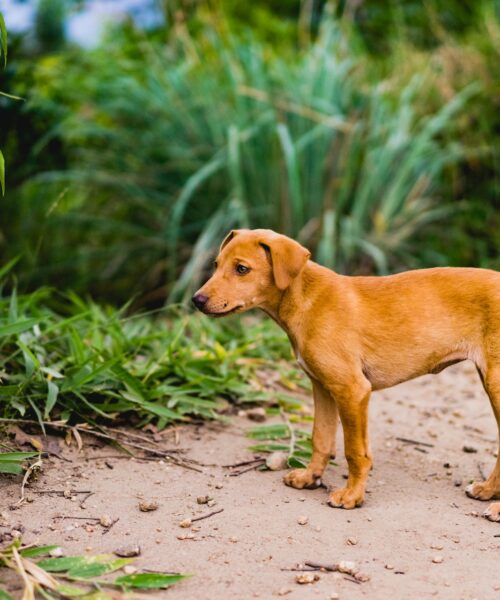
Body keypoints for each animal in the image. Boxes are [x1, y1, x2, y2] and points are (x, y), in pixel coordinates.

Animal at [192, 227, 500, 516]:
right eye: (216, 264)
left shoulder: (352, 390)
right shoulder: (322, 387)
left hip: (495, 384)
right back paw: (486, 490)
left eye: (242, 269)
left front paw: (351, 496)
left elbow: (354, 451)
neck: (306, 298)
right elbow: (321, 439)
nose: (197, 300)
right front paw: (310, 477)